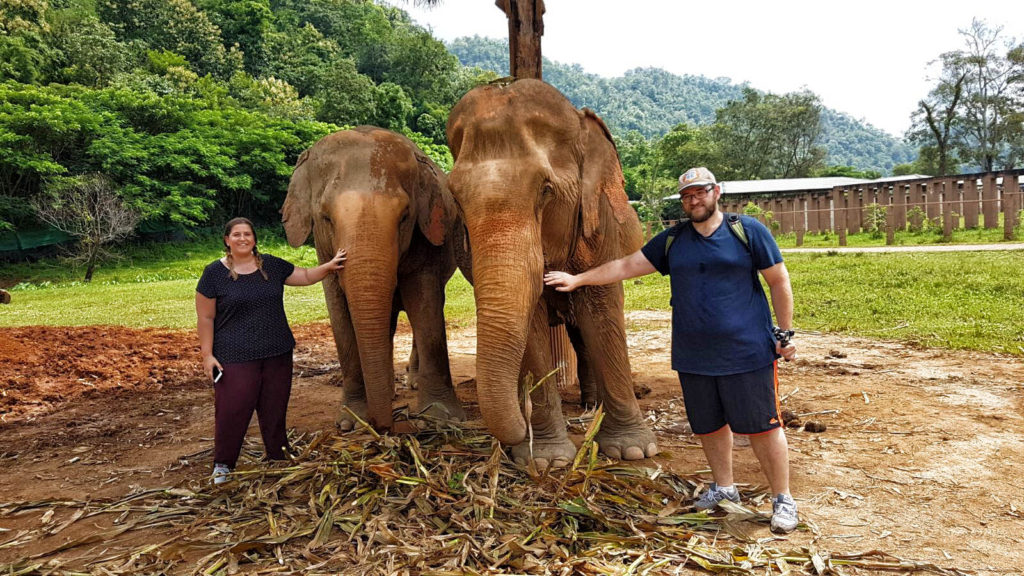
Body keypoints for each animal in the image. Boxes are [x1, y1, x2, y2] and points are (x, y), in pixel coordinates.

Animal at [284, 125, 468, 430]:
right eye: (326, 218)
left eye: (405, 216)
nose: (384, 426)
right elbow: (339, 313)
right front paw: (350, 422)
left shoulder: (427, 242)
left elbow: (425, 305)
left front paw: (440, 417)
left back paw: (412, 383)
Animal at [446, 78, 655, 463]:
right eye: (456, 199)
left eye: (546, 190)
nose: (512, 438)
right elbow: (532, 324)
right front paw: (546, 457)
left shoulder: (600, 221)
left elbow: (601, 308)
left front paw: (633, 450)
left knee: (584, 331)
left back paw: (591, 406)